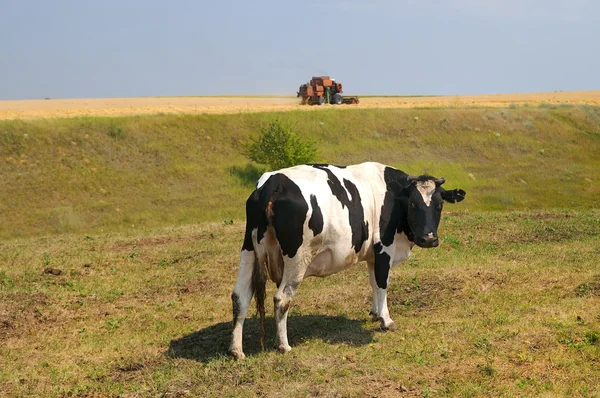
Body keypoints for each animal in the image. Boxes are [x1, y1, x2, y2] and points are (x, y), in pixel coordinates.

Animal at [227, 160, 466, 360]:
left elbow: (373, 283)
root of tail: (273, 182)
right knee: (281, 298)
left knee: (240, 296)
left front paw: (375, 313)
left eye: (439, 205)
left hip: (248, 249)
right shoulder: (384, 248)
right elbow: (382, 283)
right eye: (413, 205)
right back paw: (283, 345)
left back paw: (236, 350)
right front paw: (386, 320)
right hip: (297, 258)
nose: (429, 238)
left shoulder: (372, 254)